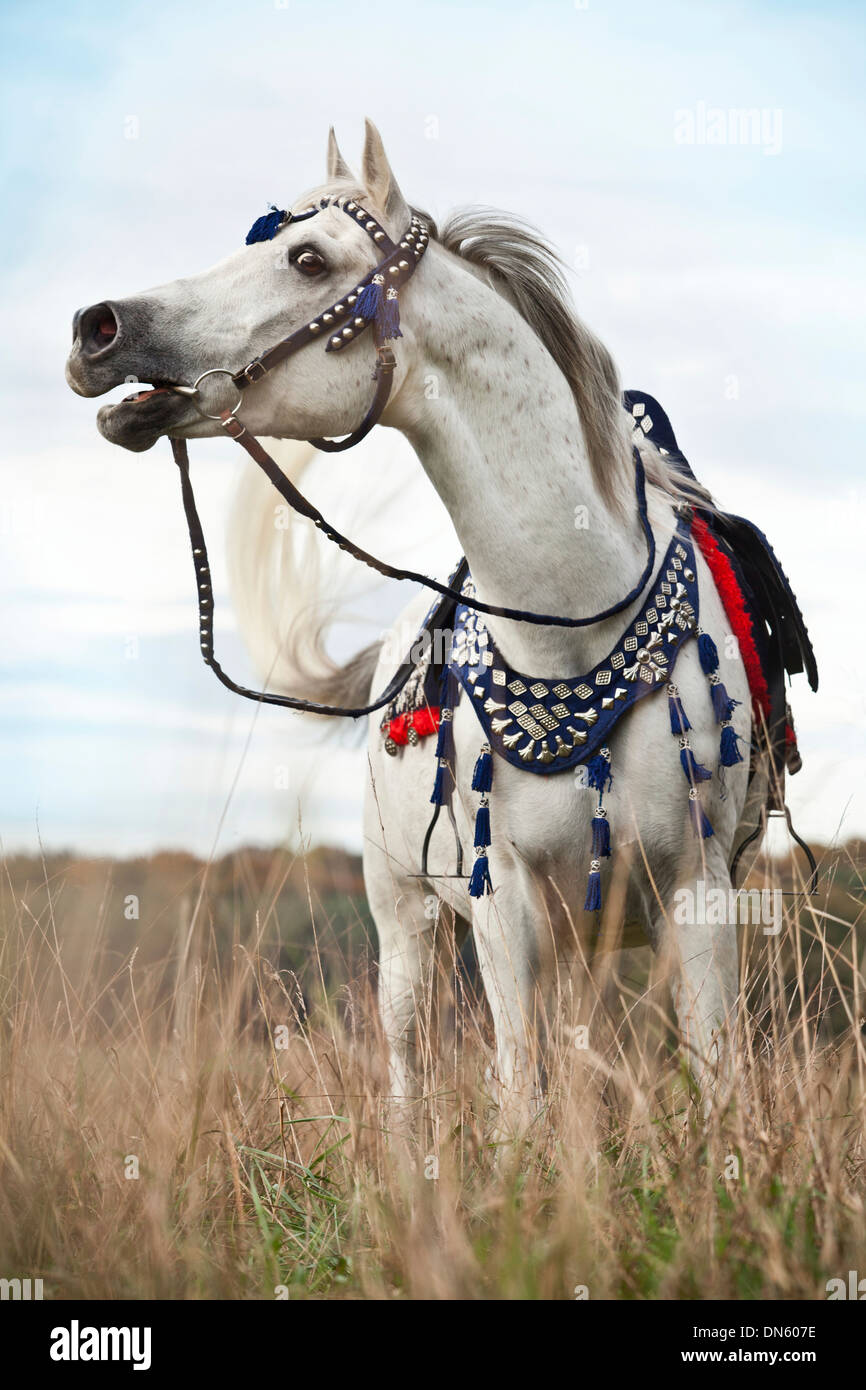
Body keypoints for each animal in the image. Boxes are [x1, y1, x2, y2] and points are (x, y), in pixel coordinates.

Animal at [67, 122, 783, 1128]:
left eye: (308, 258)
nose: (98, 328)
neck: (567, 628)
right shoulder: (502, 906)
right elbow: (519, 1097)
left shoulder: (699, 894)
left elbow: (714, 1084)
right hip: (404, 923)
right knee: (408, 1075)